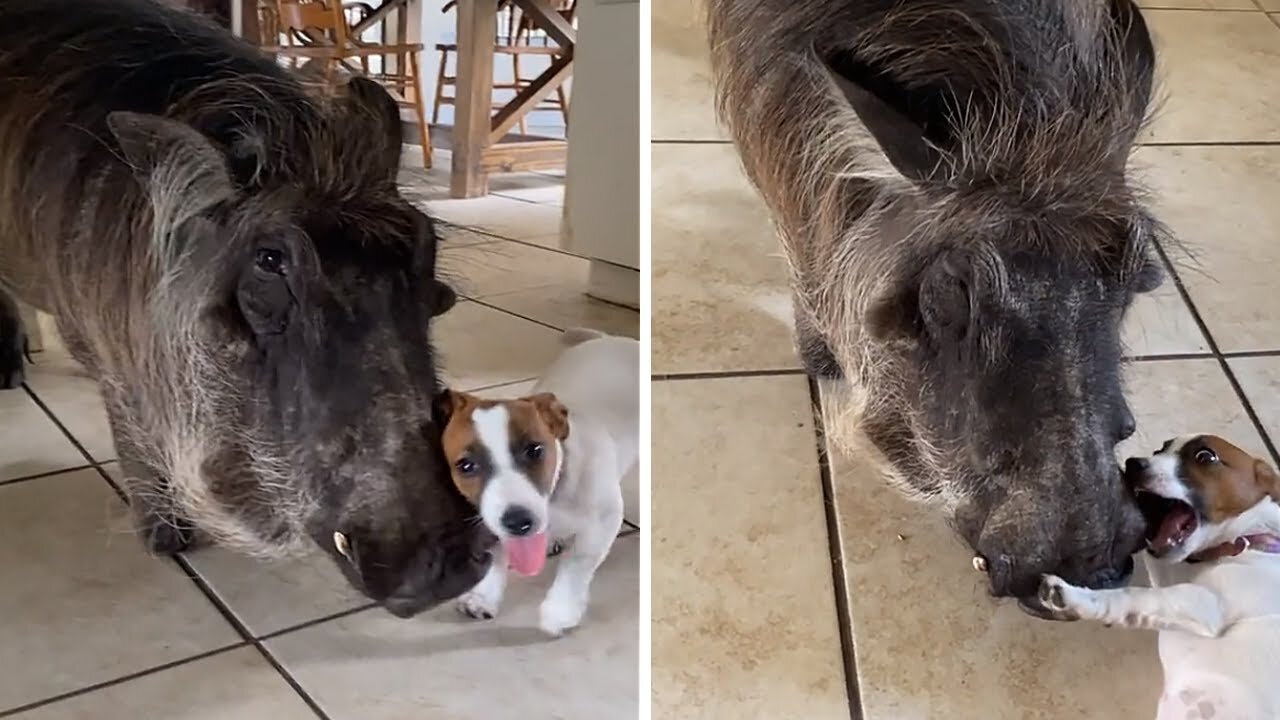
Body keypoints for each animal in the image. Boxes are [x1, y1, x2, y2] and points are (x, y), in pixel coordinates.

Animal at [437, 326, 637, 632]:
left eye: (535, 450)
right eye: (466, 466)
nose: (519, 522)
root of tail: (608, 338)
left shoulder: (604, 521)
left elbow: (576, 564)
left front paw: (560, 610)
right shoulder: (491, 521)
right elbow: (497, 554)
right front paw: (483, 596)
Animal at [1039, 430, 1280, 717]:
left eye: (1205, 456)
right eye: (1159, 450)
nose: (1132, 464)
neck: (1243, 541)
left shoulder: (1208, 605)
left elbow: (1133, 596)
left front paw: (1075, 597)